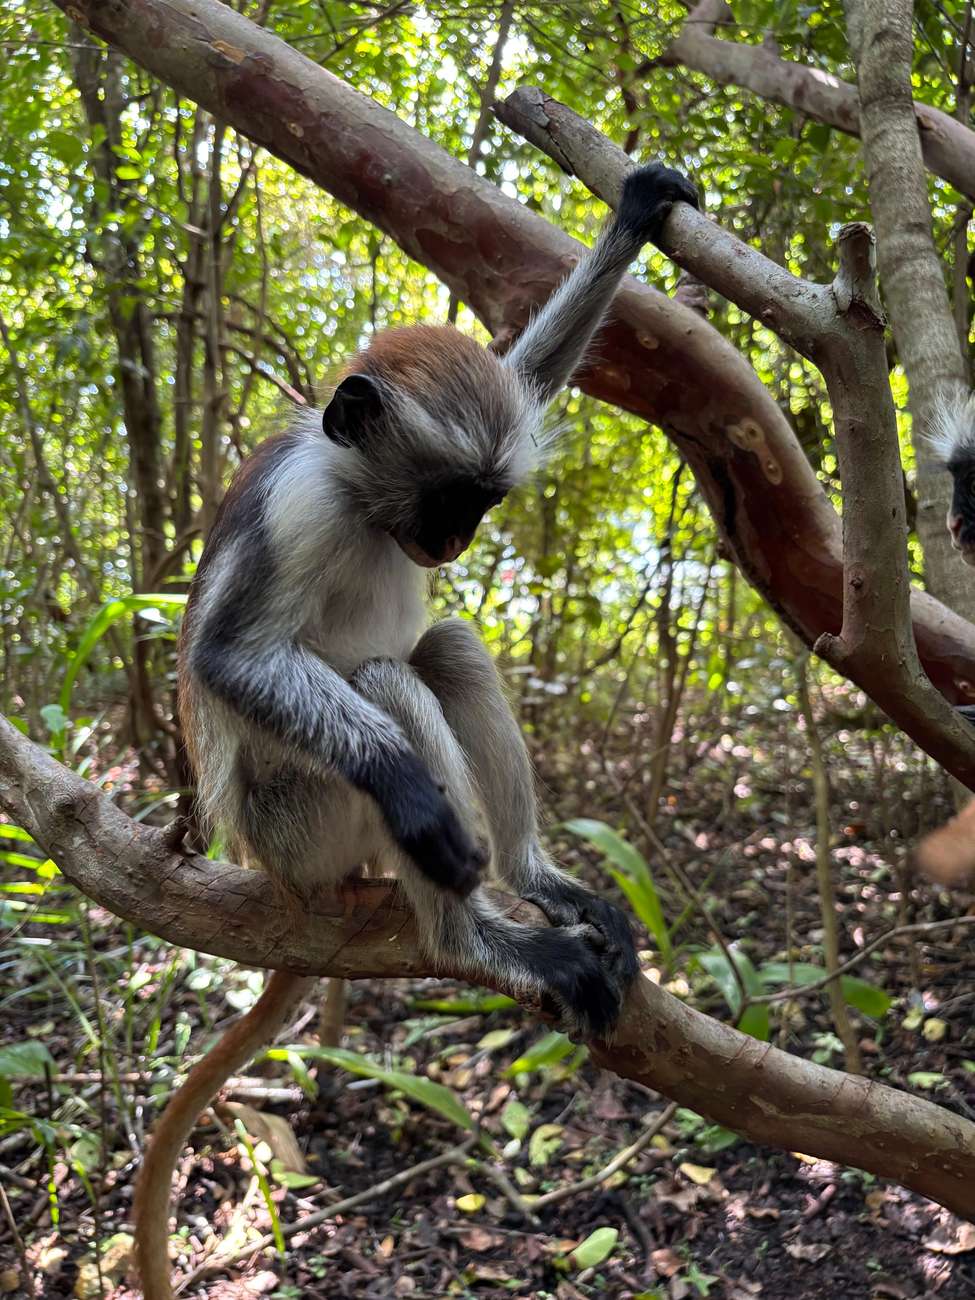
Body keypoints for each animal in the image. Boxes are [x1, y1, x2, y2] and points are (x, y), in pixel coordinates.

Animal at [134, 162, 699, 1300]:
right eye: (449, 496)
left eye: (484, 500)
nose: (460, 537)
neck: (355, 497)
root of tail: (271, 867)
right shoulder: (298, 504)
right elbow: (224, 660)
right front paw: (412, 797)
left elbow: (529, 369)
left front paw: (634, 215)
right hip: (300, 818)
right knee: (391, 677)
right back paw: (472, 933)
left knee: (448, 648)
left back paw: (533, 878)